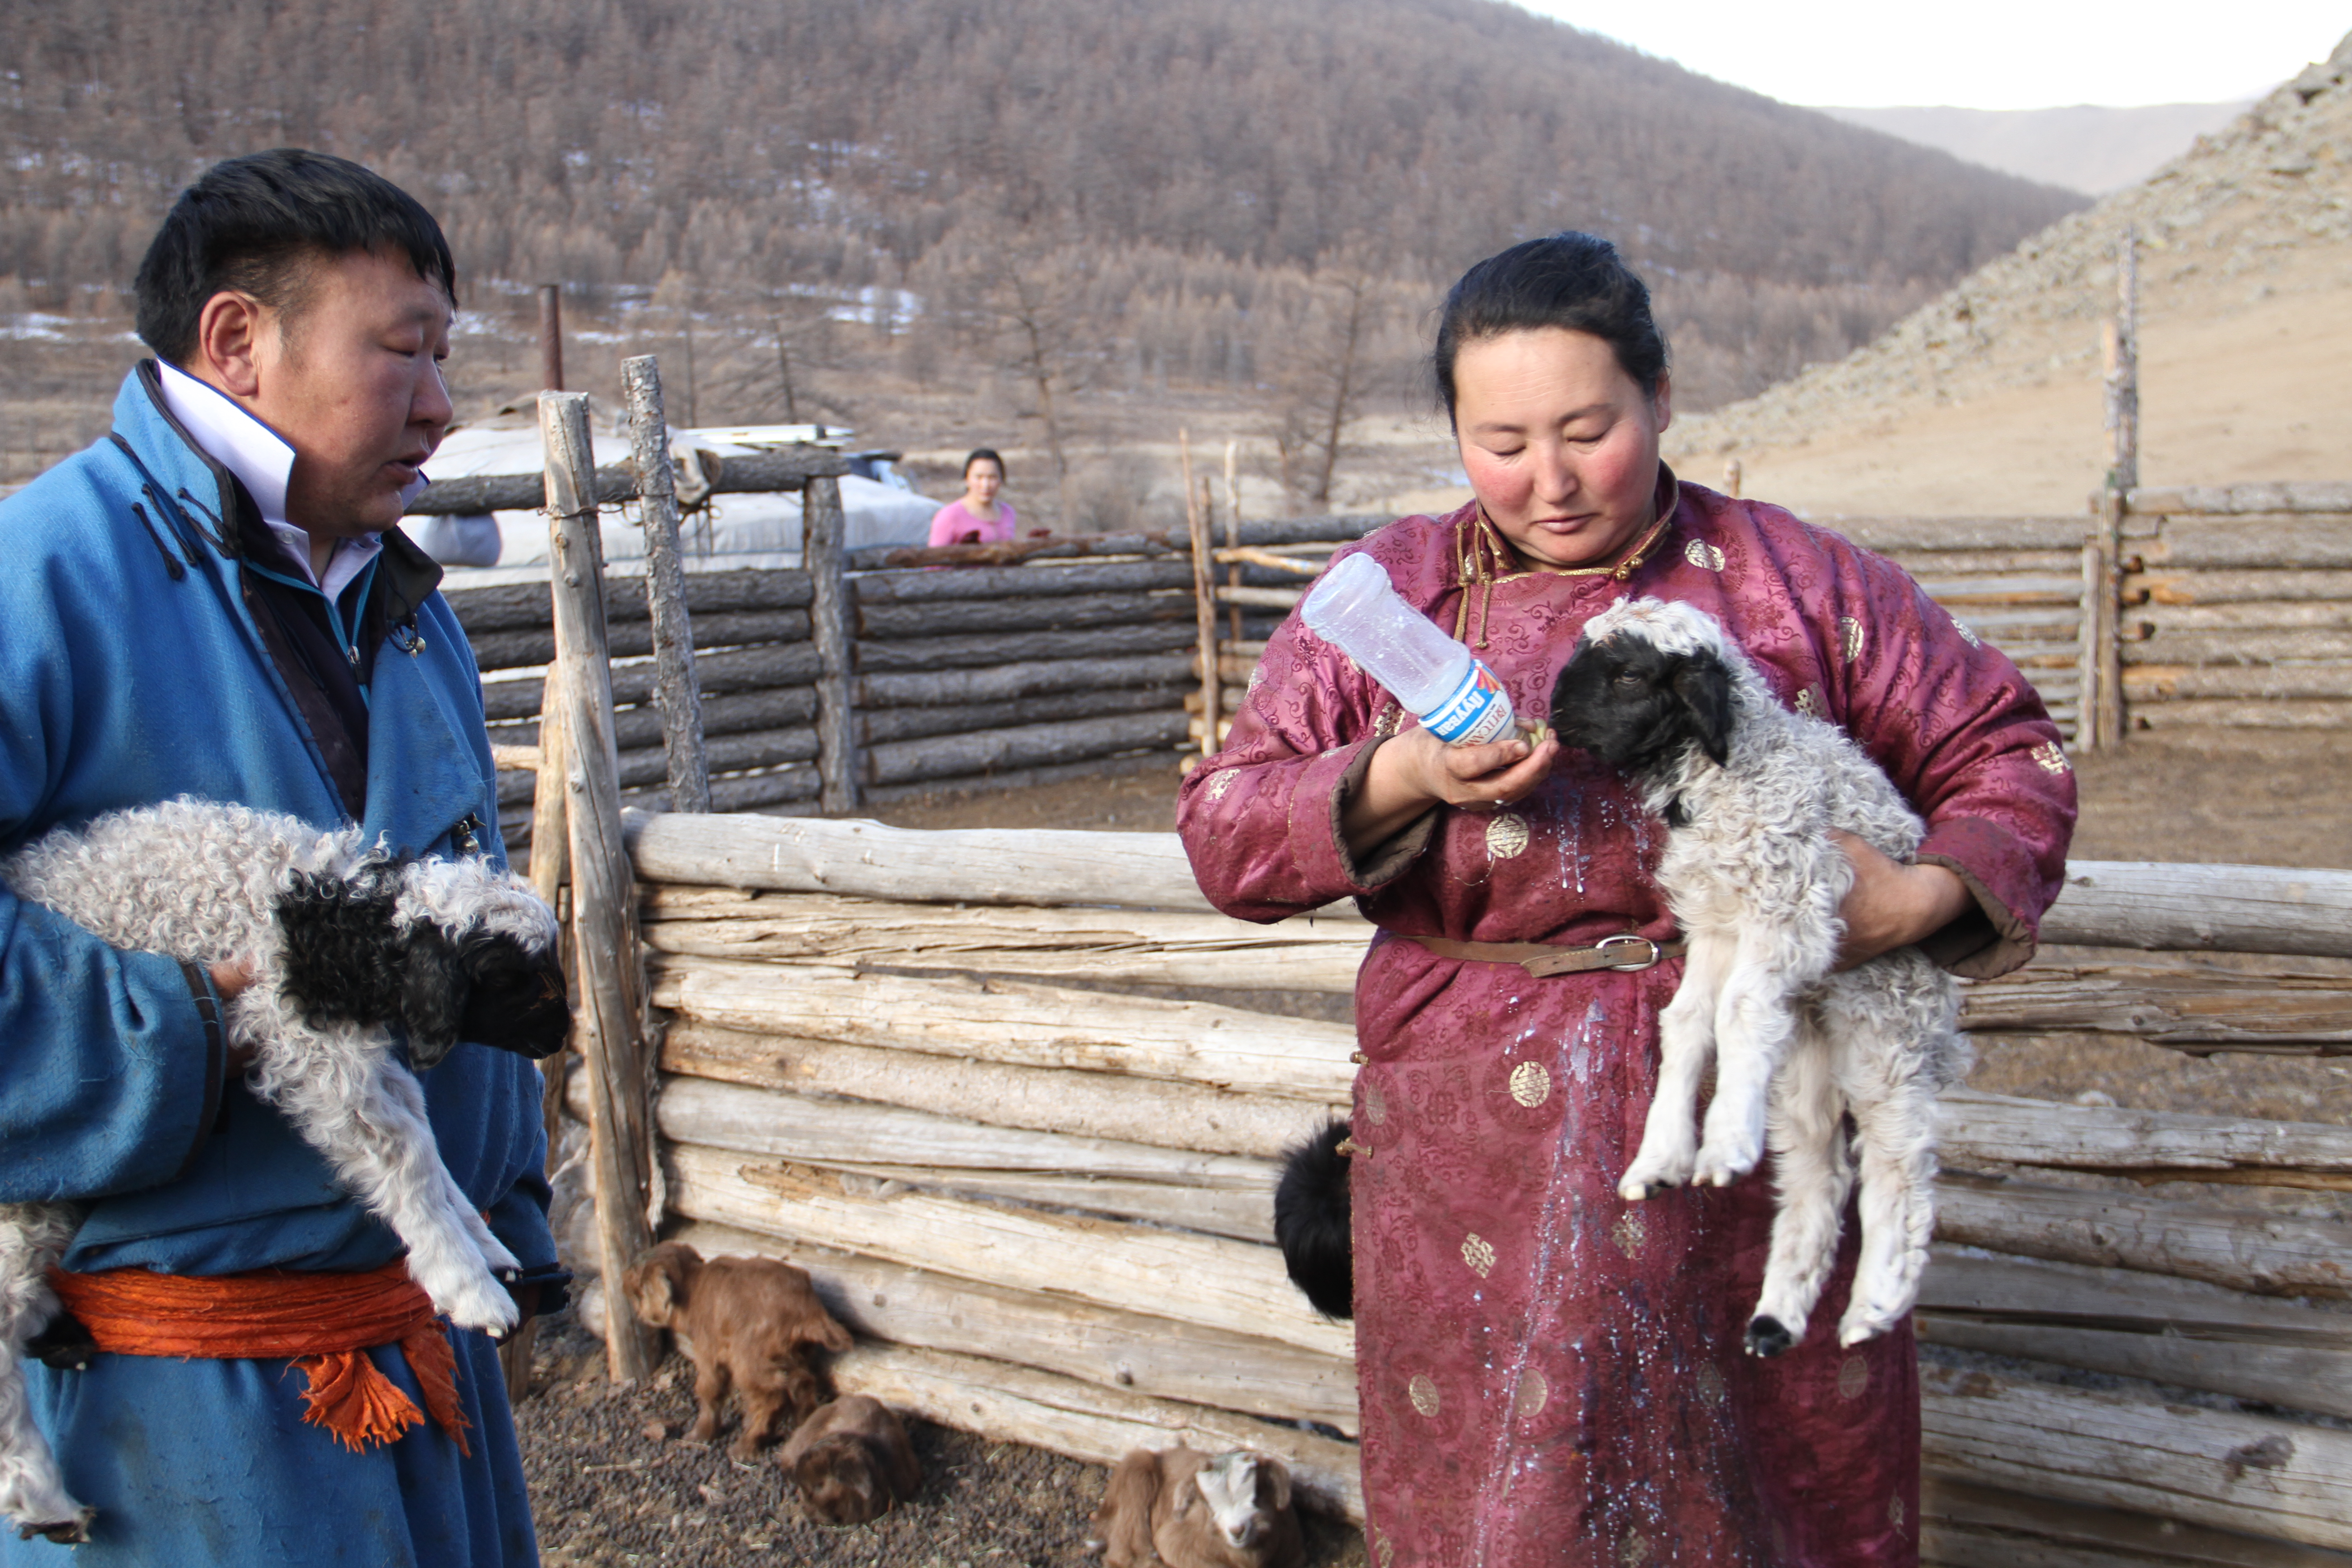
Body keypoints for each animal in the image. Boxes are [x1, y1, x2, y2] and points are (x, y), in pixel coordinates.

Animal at [616, 1250, 856, 1457]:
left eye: (638, 1293)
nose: (638, 1314)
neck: (693, 1288)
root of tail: (808, 1311)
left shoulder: (709, 1353)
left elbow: (710, 1391)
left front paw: (700, 1434)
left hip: (750, 1360)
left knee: (769, 1400)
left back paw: (744, 1447)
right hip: (794, 1354)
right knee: (802, 1383)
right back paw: (802, 1425)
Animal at [1087, 1448, 1308, 1568]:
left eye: (1255, 1495)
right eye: (1208, 1502)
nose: (1237, 1530)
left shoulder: (1294, 1556)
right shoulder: (1173, 1542)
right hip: (1136, 1475)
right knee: (1123, 1556)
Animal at [1543, 602, 1966, 1363]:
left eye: (1629, 674)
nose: (1554, 715)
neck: (1731, 774)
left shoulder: (1785, 910)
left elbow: (1736, 1013)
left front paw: (1722, 1143)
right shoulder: (1717, 927)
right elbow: (1686, 1026)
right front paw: (1663, 1158)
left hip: (1886, 1028)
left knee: (1900, 1168)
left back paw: (1874, 1305)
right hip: (1804, 1051)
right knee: (1818, 1165)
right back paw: (1777, 1318)